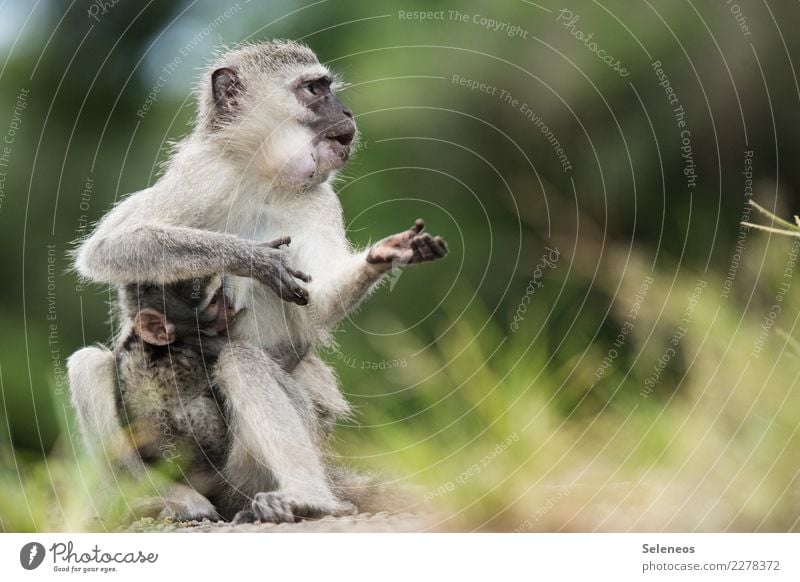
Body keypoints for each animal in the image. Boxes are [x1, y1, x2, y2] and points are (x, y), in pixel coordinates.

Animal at [67, 40, 450, 524]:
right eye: (314, 90)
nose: (347, 112)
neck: (261, 177)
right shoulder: (200, 174)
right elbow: (108, 247)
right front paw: (253, 259)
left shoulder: (318, 199)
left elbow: (319, 302)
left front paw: (385, 254)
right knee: (88, 364)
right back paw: (166, 498)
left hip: (260, 465)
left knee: (242, 362)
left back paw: (308, 496)